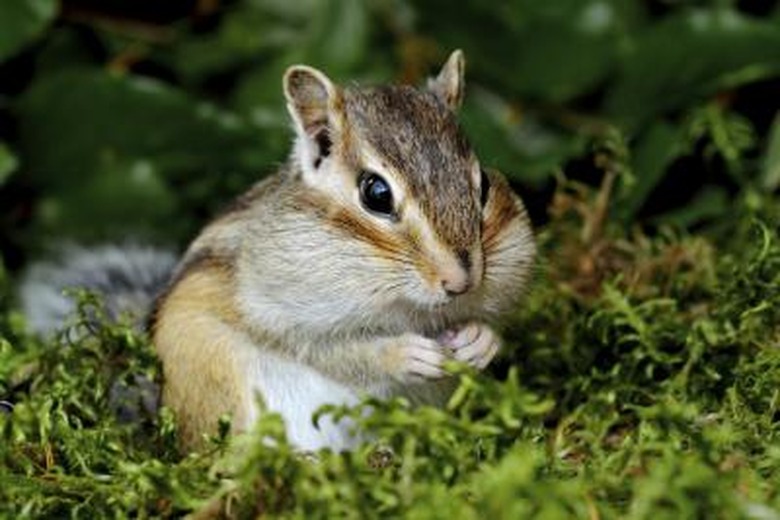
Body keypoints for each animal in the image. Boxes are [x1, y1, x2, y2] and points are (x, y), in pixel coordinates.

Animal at [19, 50, 535, 452]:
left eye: (483, 185)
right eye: (376, 194)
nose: (461, 281)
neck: (409, 308)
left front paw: (481, 340)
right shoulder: (277, 310)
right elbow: (329, 349)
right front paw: (402, 354)